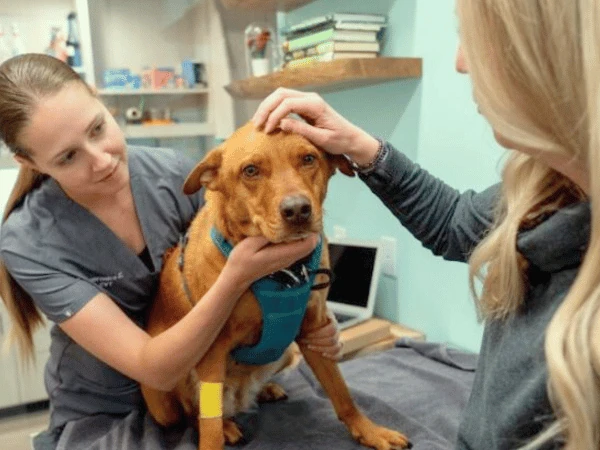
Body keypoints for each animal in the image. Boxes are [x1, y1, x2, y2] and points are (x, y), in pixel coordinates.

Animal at [142, 120, 412, 450]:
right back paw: (227, 423)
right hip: (165, 396)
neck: (284, 272)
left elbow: (341, 392)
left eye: (308, 159)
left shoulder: (313, 330)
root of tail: (239, 398)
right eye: (250, 170)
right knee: (193, 414)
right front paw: (217, 433)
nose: (297, 210)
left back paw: (266, 389)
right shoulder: (212, 350)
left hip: (287, 352)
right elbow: (209, 428)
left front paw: (368, 430)